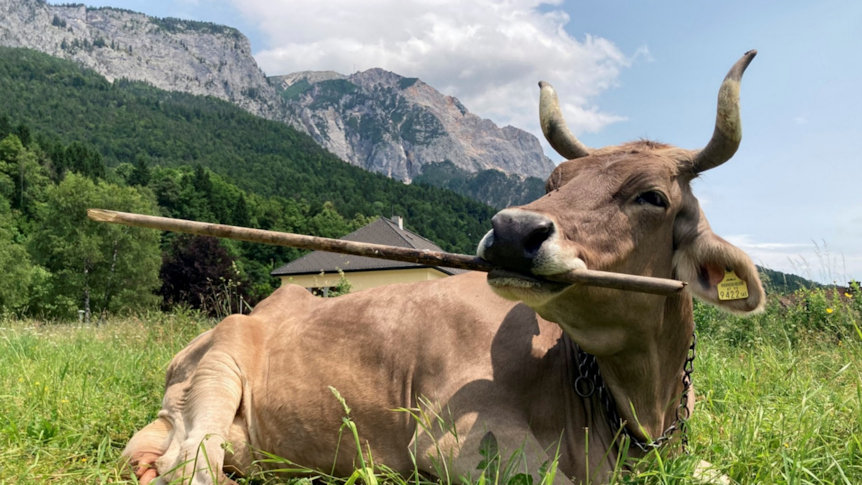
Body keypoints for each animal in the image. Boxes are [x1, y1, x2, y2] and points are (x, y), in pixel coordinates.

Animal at [122, 51, 764, 485]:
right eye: (554, 181)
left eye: (652, 197)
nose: (512, 231)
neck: (640, 409)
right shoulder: (458, 442)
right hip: (218, 369)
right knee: (188, 466)